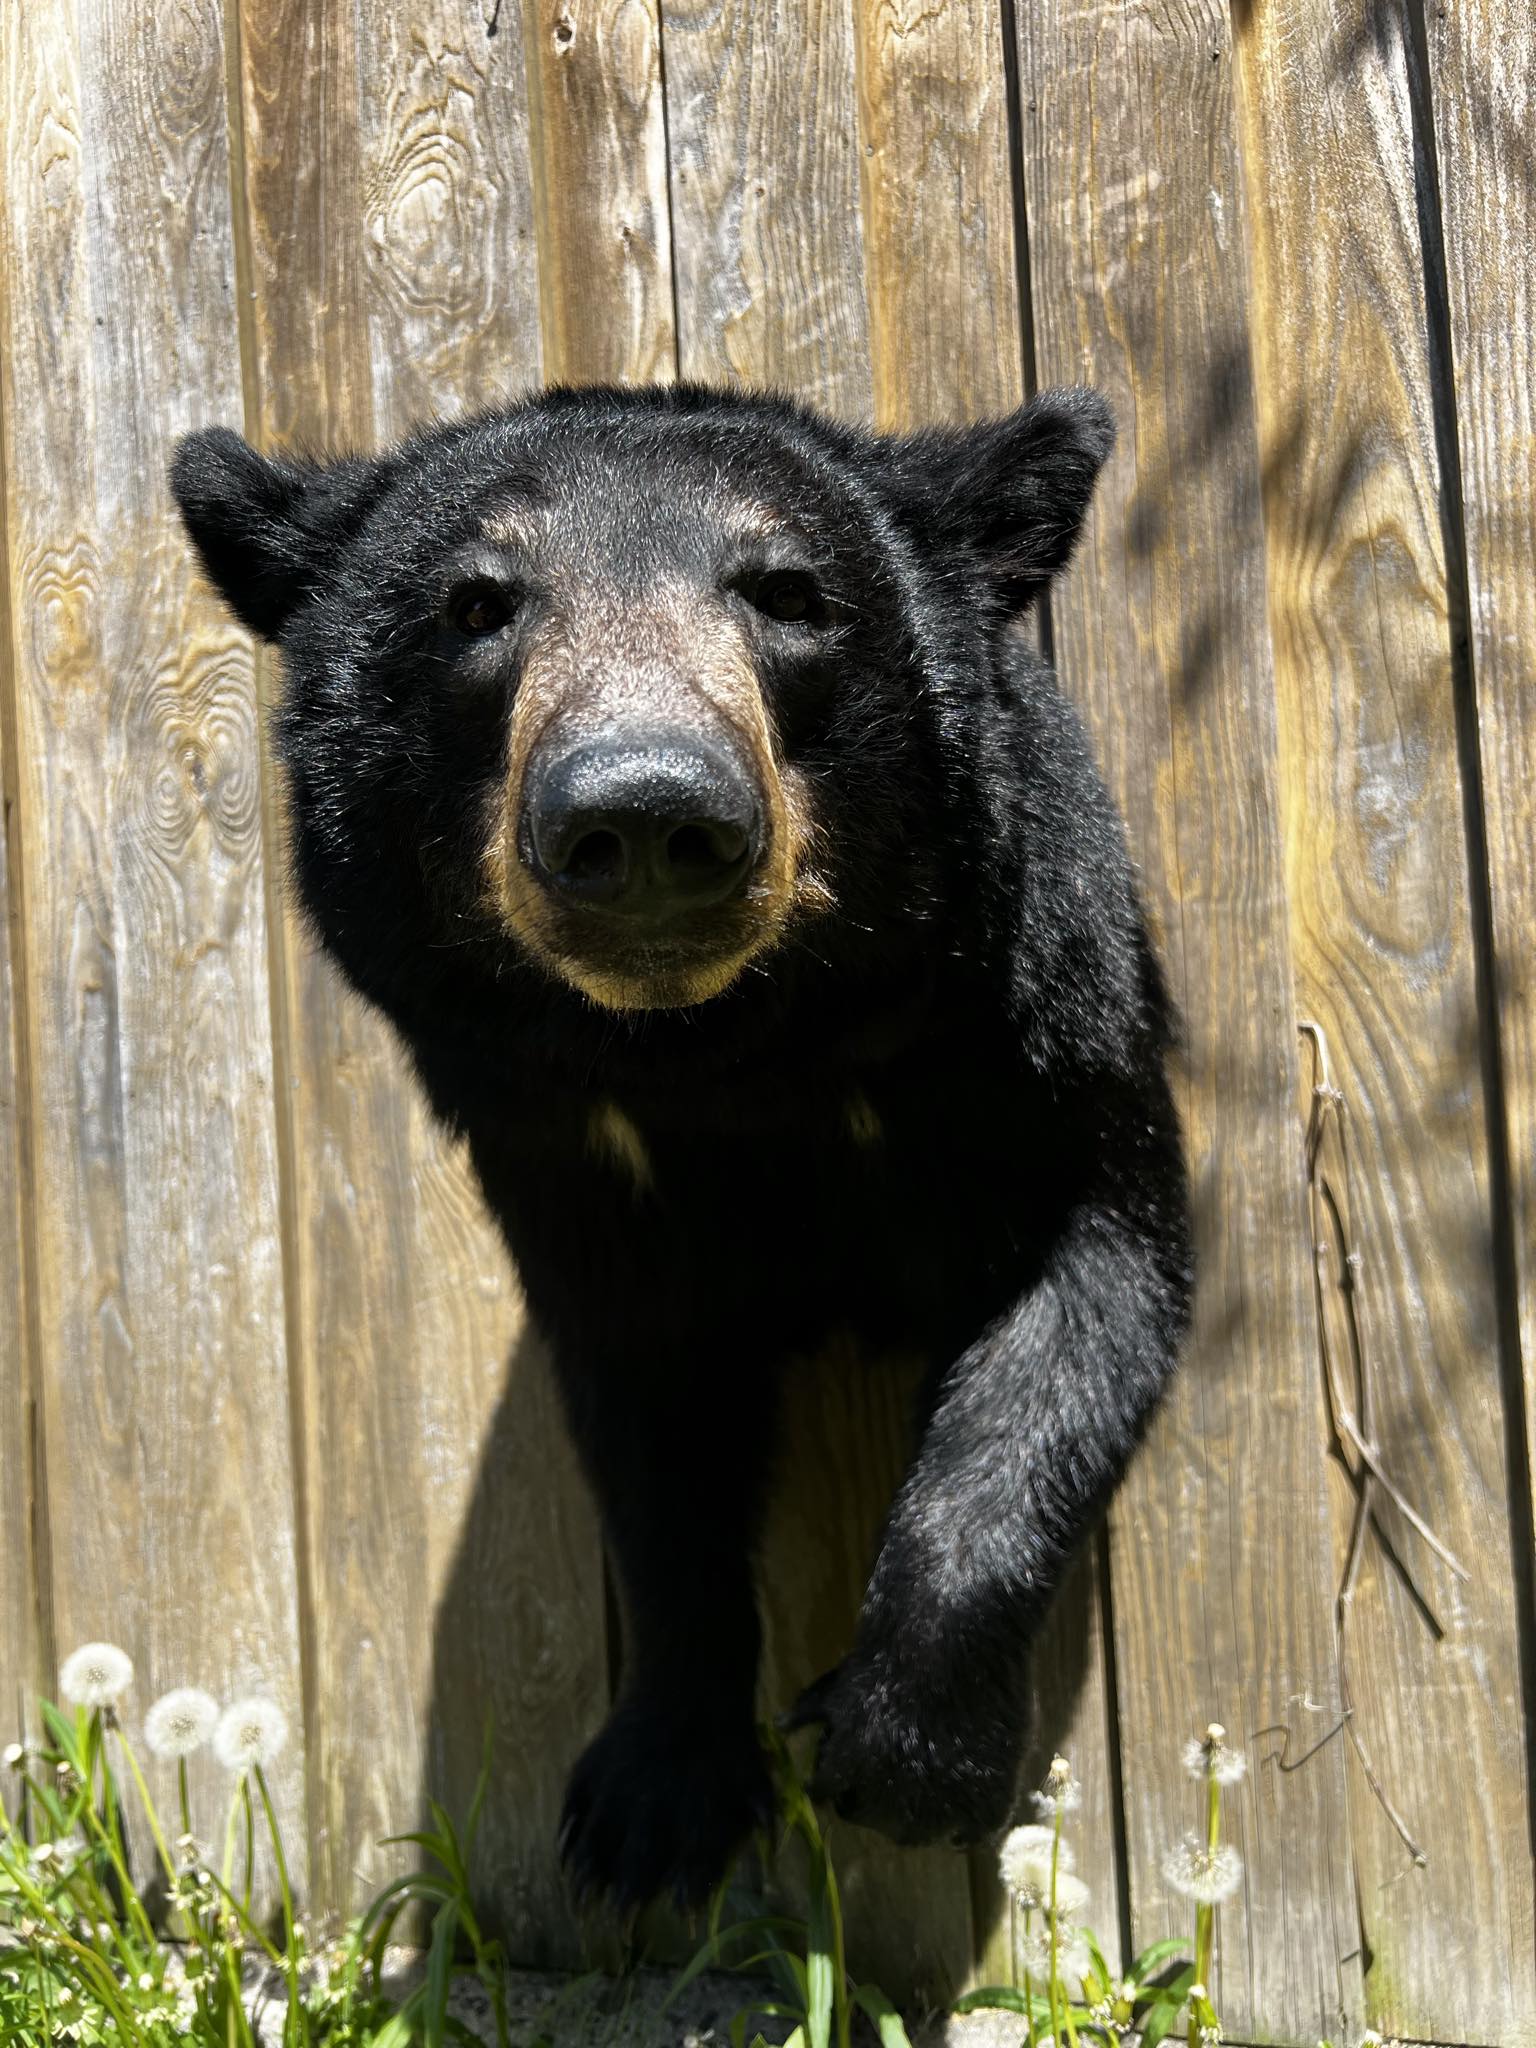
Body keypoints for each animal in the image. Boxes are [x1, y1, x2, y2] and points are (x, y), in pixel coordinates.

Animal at [174, 380, 1196, 1900]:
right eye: (477, 603)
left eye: (788, 591)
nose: (647, 811)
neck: (725, 1060)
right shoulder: (567, 1154)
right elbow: (651, 1436)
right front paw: (651, 1799)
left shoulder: (1036, 1022)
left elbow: (1092, 1287)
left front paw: (903, 1753)